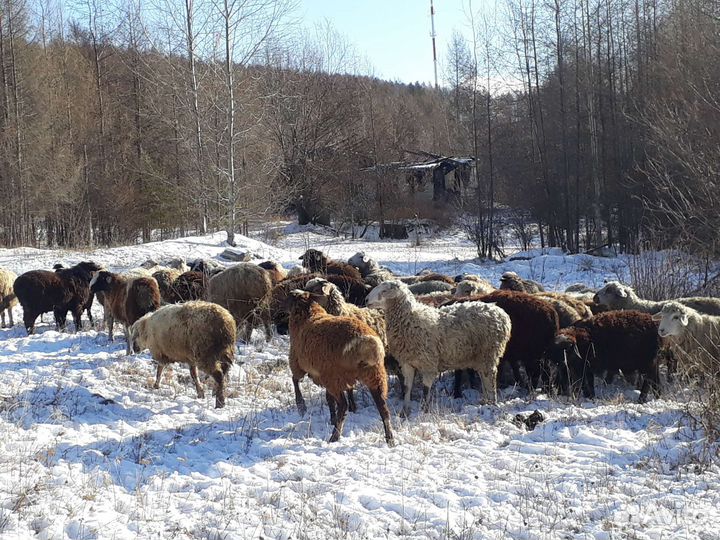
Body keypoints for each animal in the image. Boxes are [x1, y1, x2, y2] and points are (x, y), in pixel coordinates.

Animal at [285, 289, 394, 445]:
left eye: (290, 296)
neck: (308, 313)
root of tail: (365, 343)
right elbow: (328, 398)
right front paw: (331, 417)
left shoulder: (297, 361)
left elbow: (295, 380)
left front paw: (301, 406)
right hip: (375, 375)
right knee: (383, 408)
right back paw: (390, 439)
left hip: (335, 377)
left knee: (343, 405)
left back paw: (334, 436)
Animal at [366, 281, 512, 416]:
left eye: (384, 291)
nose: (366, 300)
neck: (410, 320)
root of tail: (500, 313)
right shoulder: (407, 363)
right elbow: (407, 388)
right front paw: (404, 411)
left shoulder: (428, 364)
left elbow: (425, 389)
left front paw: (423, 411)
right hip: (479, 356)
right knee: (483, 376)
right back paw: (485, 401)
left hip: (489, 353)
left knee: (490, 378)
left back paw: (492, 404)